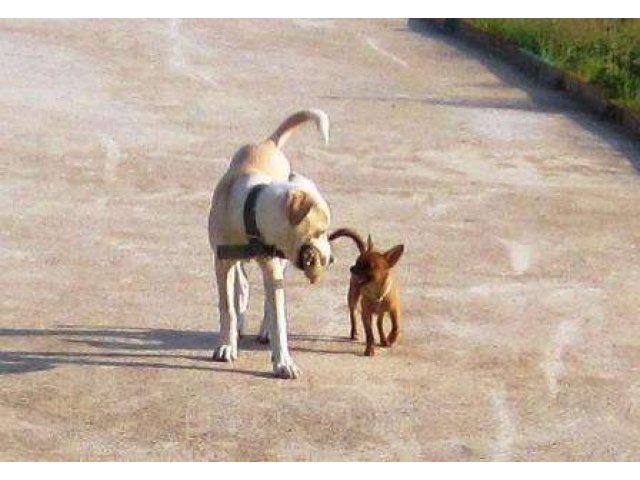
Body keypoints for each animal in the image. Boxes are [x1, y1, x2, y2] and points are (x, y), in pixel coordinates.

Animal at [209, 109, 332, 378]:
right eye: (321, 231)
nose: (332, 259)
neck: (251, 208)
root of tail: (268, 143)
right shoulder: (222, 262)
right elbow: (227, 308)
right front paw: (226, 346)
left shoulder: (273, 265)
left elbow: (278, 317)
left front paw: (283, 362)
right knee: (242, 284)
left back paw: (263, 331)